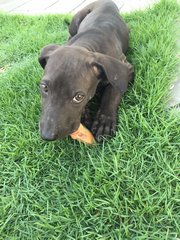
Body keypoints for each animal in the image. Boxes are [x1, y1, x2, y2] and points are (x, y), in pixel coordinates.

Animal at [38, 0, 134, 142]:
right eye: (44, 88)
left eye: (79, 97)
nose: (47, 135)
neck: (87, 43)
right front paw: (85, 114)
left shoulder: (125, 69)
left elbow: (112, 93)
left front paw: (104, 121)